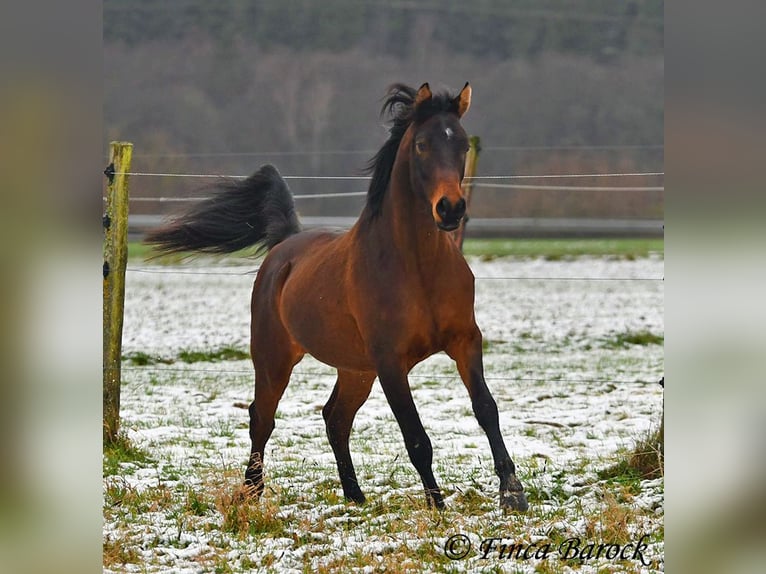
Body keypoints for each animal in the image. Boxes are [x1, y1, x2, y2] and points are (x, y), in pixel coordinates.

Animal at [144, 82, 528, 512]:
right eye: (422, 145)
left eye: (461, 144)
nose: (450, 209)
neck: (417, 267)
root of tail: (285, 244)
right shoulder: (390, 361)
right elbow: (416, 437)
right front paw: (437, 506)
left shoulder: (465, 340)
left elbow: (486, 408)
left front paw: (513, 492)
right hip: (275, 357)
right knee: (262, 416)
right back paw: (252, 491)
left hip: (355, 368)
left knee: (335, 418)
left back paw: (355, 495)